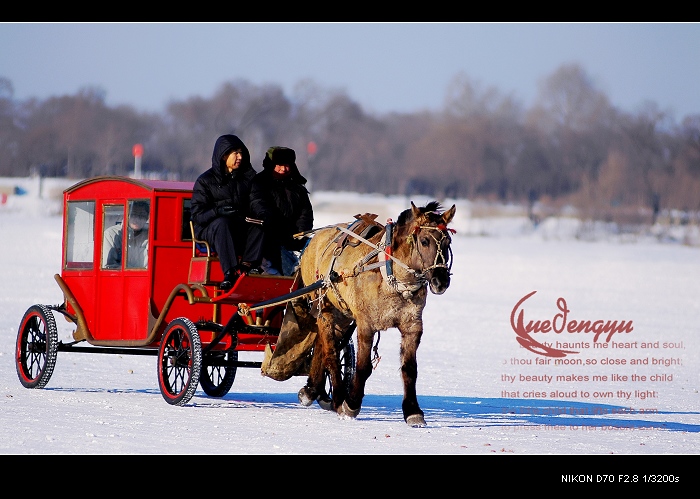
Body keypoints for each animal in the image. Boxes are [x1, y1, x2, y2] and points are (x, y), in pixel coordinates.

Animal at [294, 199, 454, 426]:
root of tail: (313, 239)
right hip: (324, 306)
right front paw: (351, 404)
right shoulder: (366, 323)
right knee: (330, 351)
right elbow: (363, 367)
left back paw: (312, 390)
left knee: (322, 344)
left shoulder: (412, 325)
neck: (389, 275)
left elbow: (409, 368)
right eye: (424, 241)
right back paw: (338, 398)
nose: (441, 281)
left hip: (341, 314)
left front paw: (413, 411)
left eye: (448, 242)